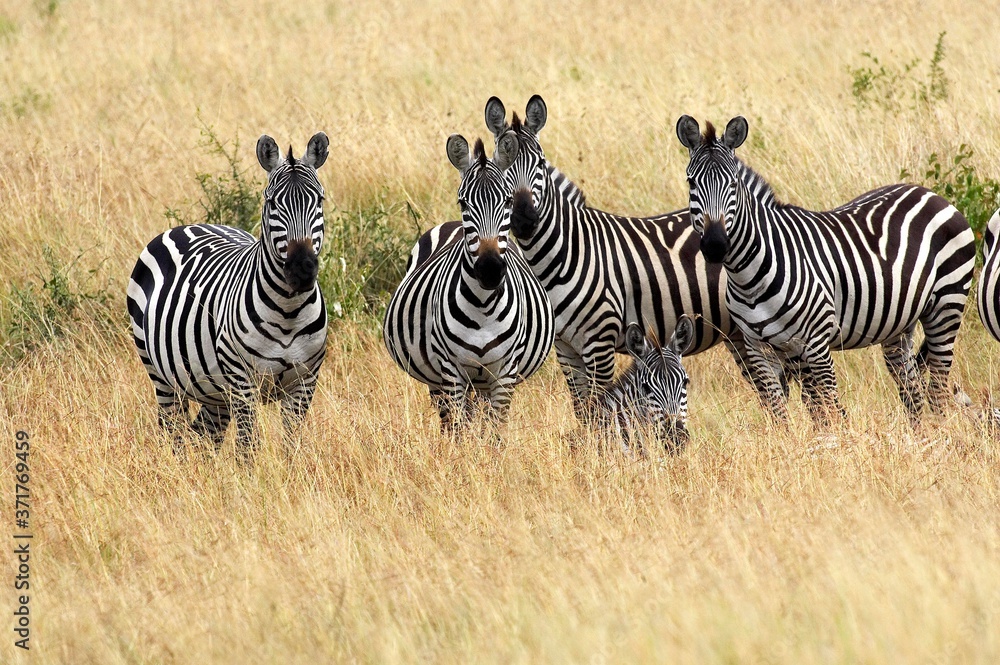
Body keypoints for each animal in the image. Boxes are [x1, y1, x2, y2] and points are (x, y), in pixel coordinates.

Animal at [127, 132, 330, 461]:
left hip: (213, 390)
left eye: (319, 200)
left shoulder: (305, 381)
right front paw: (252, 475)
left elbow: (291, 446)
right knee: (174, 433)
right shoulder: (241, 379)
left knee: (204, 434)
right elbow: (248, 447)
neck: (288, 311)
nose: (302, 269)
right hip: (160, 373)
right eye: (271, 202)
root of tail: (190, 225)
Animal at [383, 131, 555, 432]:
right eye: (463, 203)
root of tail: (450, 224)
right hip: (440, 379)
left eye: (507, 201)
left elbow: (495, 430)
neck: (483, 306)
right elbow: (459, 430)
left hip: (482, 381)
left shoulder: (504, 372)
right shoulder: (452, 371)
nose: (489, 270)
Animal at [405, 95, 788, 424]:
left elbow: (598, 405)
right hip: (738, 335)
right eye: (507, 173)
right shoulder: (566, 348)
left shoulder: (601, 342)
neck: (562, 255)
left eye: (540, 163)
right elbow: (581, 408)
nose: (526, 219)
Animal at [675, 115, 976, 424]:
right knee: (912, 391)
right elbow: (781, 415)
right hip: (900, 323)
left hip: (947, 305)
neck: (748, 278)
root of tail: (930, 194)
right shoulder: (757, 347)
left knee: (938, 391)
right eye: (691, 181)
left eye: (733, 183)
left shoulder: (816, 342)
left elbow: (830, 408)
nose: (715, 245)